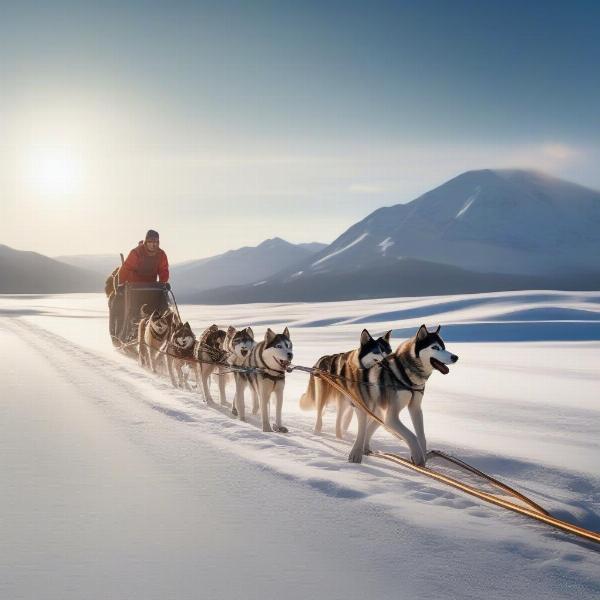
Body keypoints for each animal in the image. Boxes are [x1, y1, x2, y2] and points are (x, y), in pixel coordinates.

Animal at [346, 326, 460, 466]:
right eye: (435, 347)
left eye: (444, 347)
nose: (455, 357)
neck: (407, 376)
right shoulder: (391, 418)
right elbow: (412, 436)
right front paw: (417, 455)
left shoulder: (415, 408)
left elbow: (421, 436)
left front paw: (423, 458)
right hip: (366, 408)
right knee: (362, 430)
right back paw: (356, 454)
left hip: (379, 412)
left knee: (369, 428)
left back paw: (366, 450)